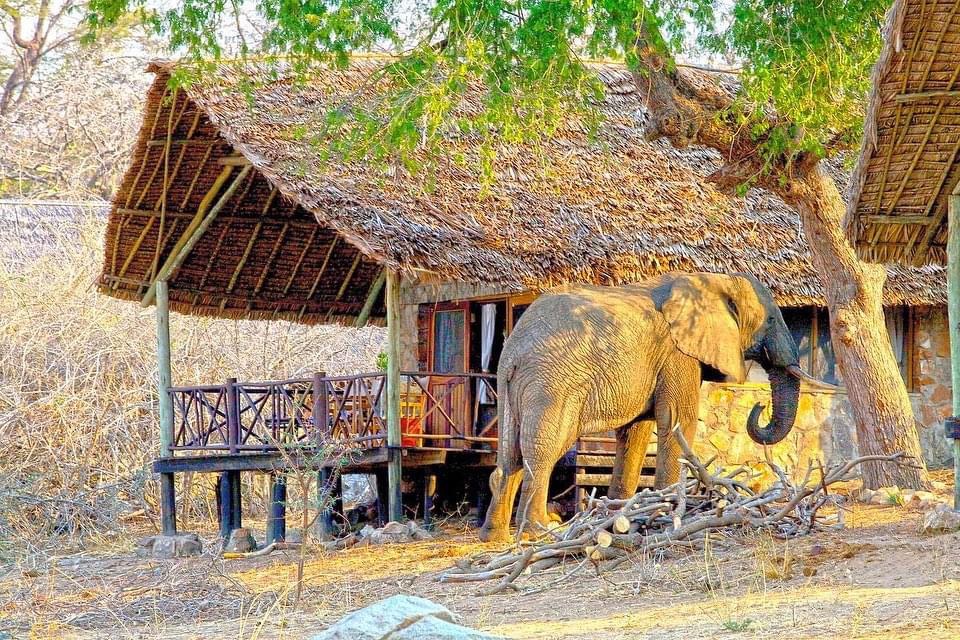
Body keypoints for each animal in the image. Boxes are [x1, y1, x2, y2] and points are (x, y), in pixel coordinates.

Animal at [478, 272, 837, 543]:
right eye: (773, 319)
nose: (759, 404)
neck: (711, 279)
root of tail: (515, 350)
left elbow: (635, 433)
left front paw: (619, 516)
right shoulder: (678, 353)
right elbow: (677, 420)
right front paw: (667, 509)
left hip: (512, 384)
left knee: (510, 454)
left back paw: (494, 536)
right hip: (553, 383)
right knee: (543, 450)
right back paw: (541, 530)